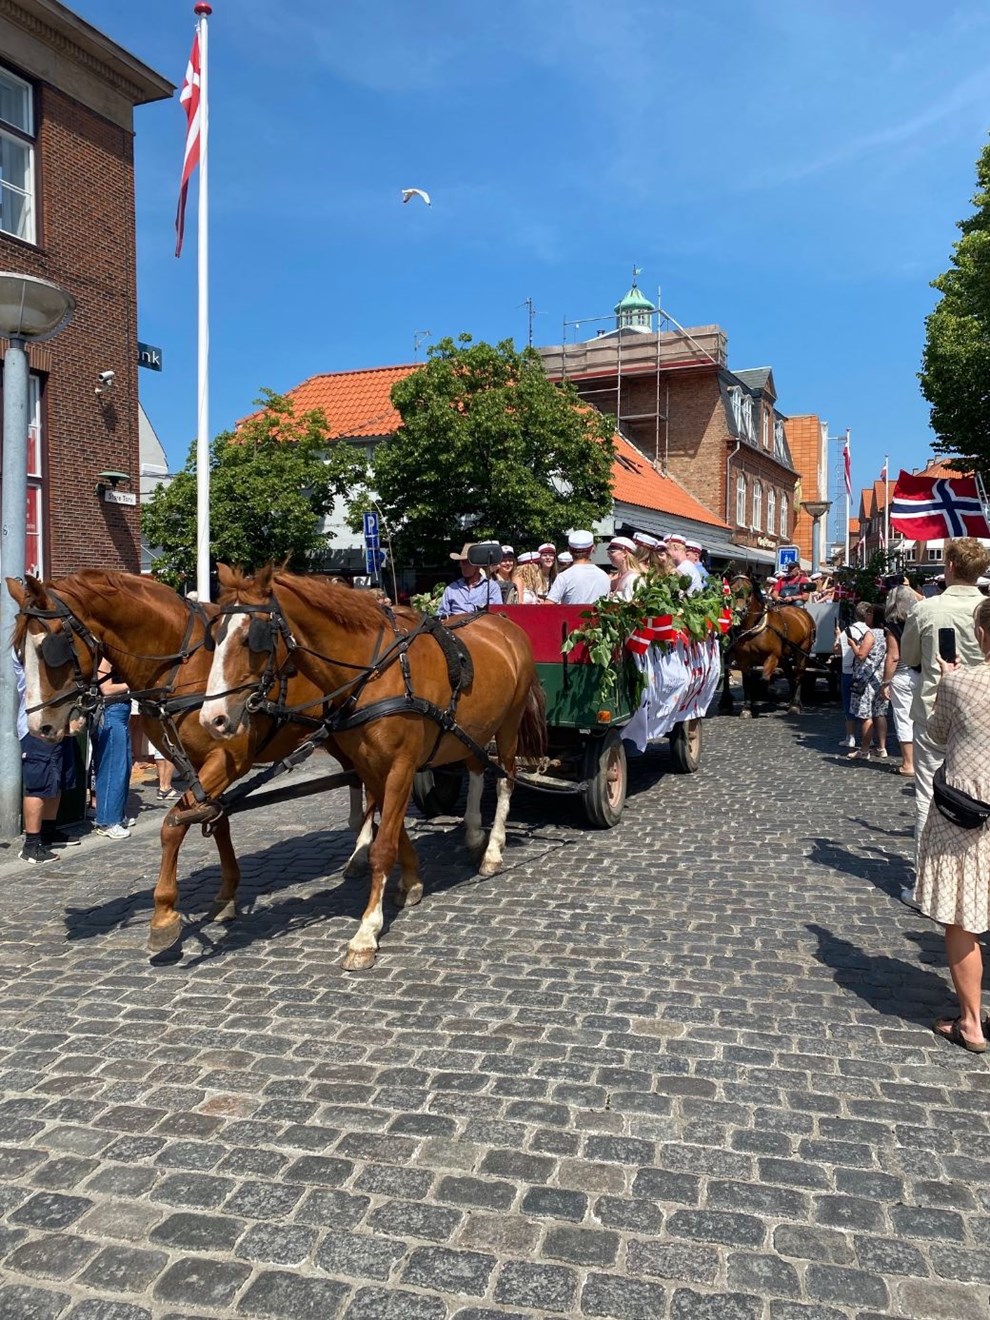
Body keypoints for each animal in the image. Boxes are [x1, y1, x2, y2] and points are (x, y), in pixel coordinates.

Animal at [8, 571, 372, 953]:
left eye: (51, 649)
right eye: (18, 653)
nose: (40, 727)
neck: (178, 668)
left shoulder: (229, 759)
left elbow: (173, 825)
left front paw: (164, 915)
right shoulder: (193, 764)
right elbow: (216, 818)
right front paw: (226, 896)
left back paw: (362, 851)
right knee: (359, 779)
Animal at [201, 564, 547, 971]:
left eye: (250, 639)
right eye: (215, 638)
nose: (212, 719)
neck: (376, 673)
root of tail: (503, 622)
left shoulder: (400, 766)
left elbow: (383, 845)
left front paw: (366, 933)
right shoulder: (370, 767)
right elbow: (391, 829)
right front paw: (411, 881)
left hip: (509, 723)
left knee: (507, 780)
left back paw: (493, 851)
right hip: (472, 729)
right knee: (477, 768)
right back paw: (475, 833)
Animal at [720, 573, 816, 718]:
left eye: (749, 590)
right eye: (731, 589)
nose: (739, 612)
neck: (754, 628)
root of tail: (803, 613)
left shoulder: (772, 656)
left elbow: (764, 679)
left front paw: (772, 691)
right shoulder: (743, 659)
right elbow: (747, 682)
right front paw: (747, 708)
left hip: (802, 651)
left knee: (799, 674)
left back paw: (795, 704)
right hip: (784, 656)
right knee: (790, 674)